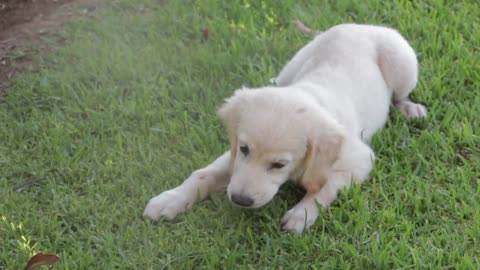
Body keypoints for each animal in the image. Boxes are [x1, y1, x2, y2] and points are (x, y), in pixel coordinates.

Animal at [143, 23, 428, 234]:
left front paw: (301, 214)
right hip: (296, 61)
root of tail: (360, 25)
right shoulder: (234, 156)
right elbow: (202, 174)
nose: (240, 200)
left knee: (400, 96)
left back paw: (410, 109)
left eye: (279, 164)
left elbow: (325, 187)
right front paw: (170, 199)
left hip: (403, 63)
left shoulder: (359, 160)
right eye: (244, 149)